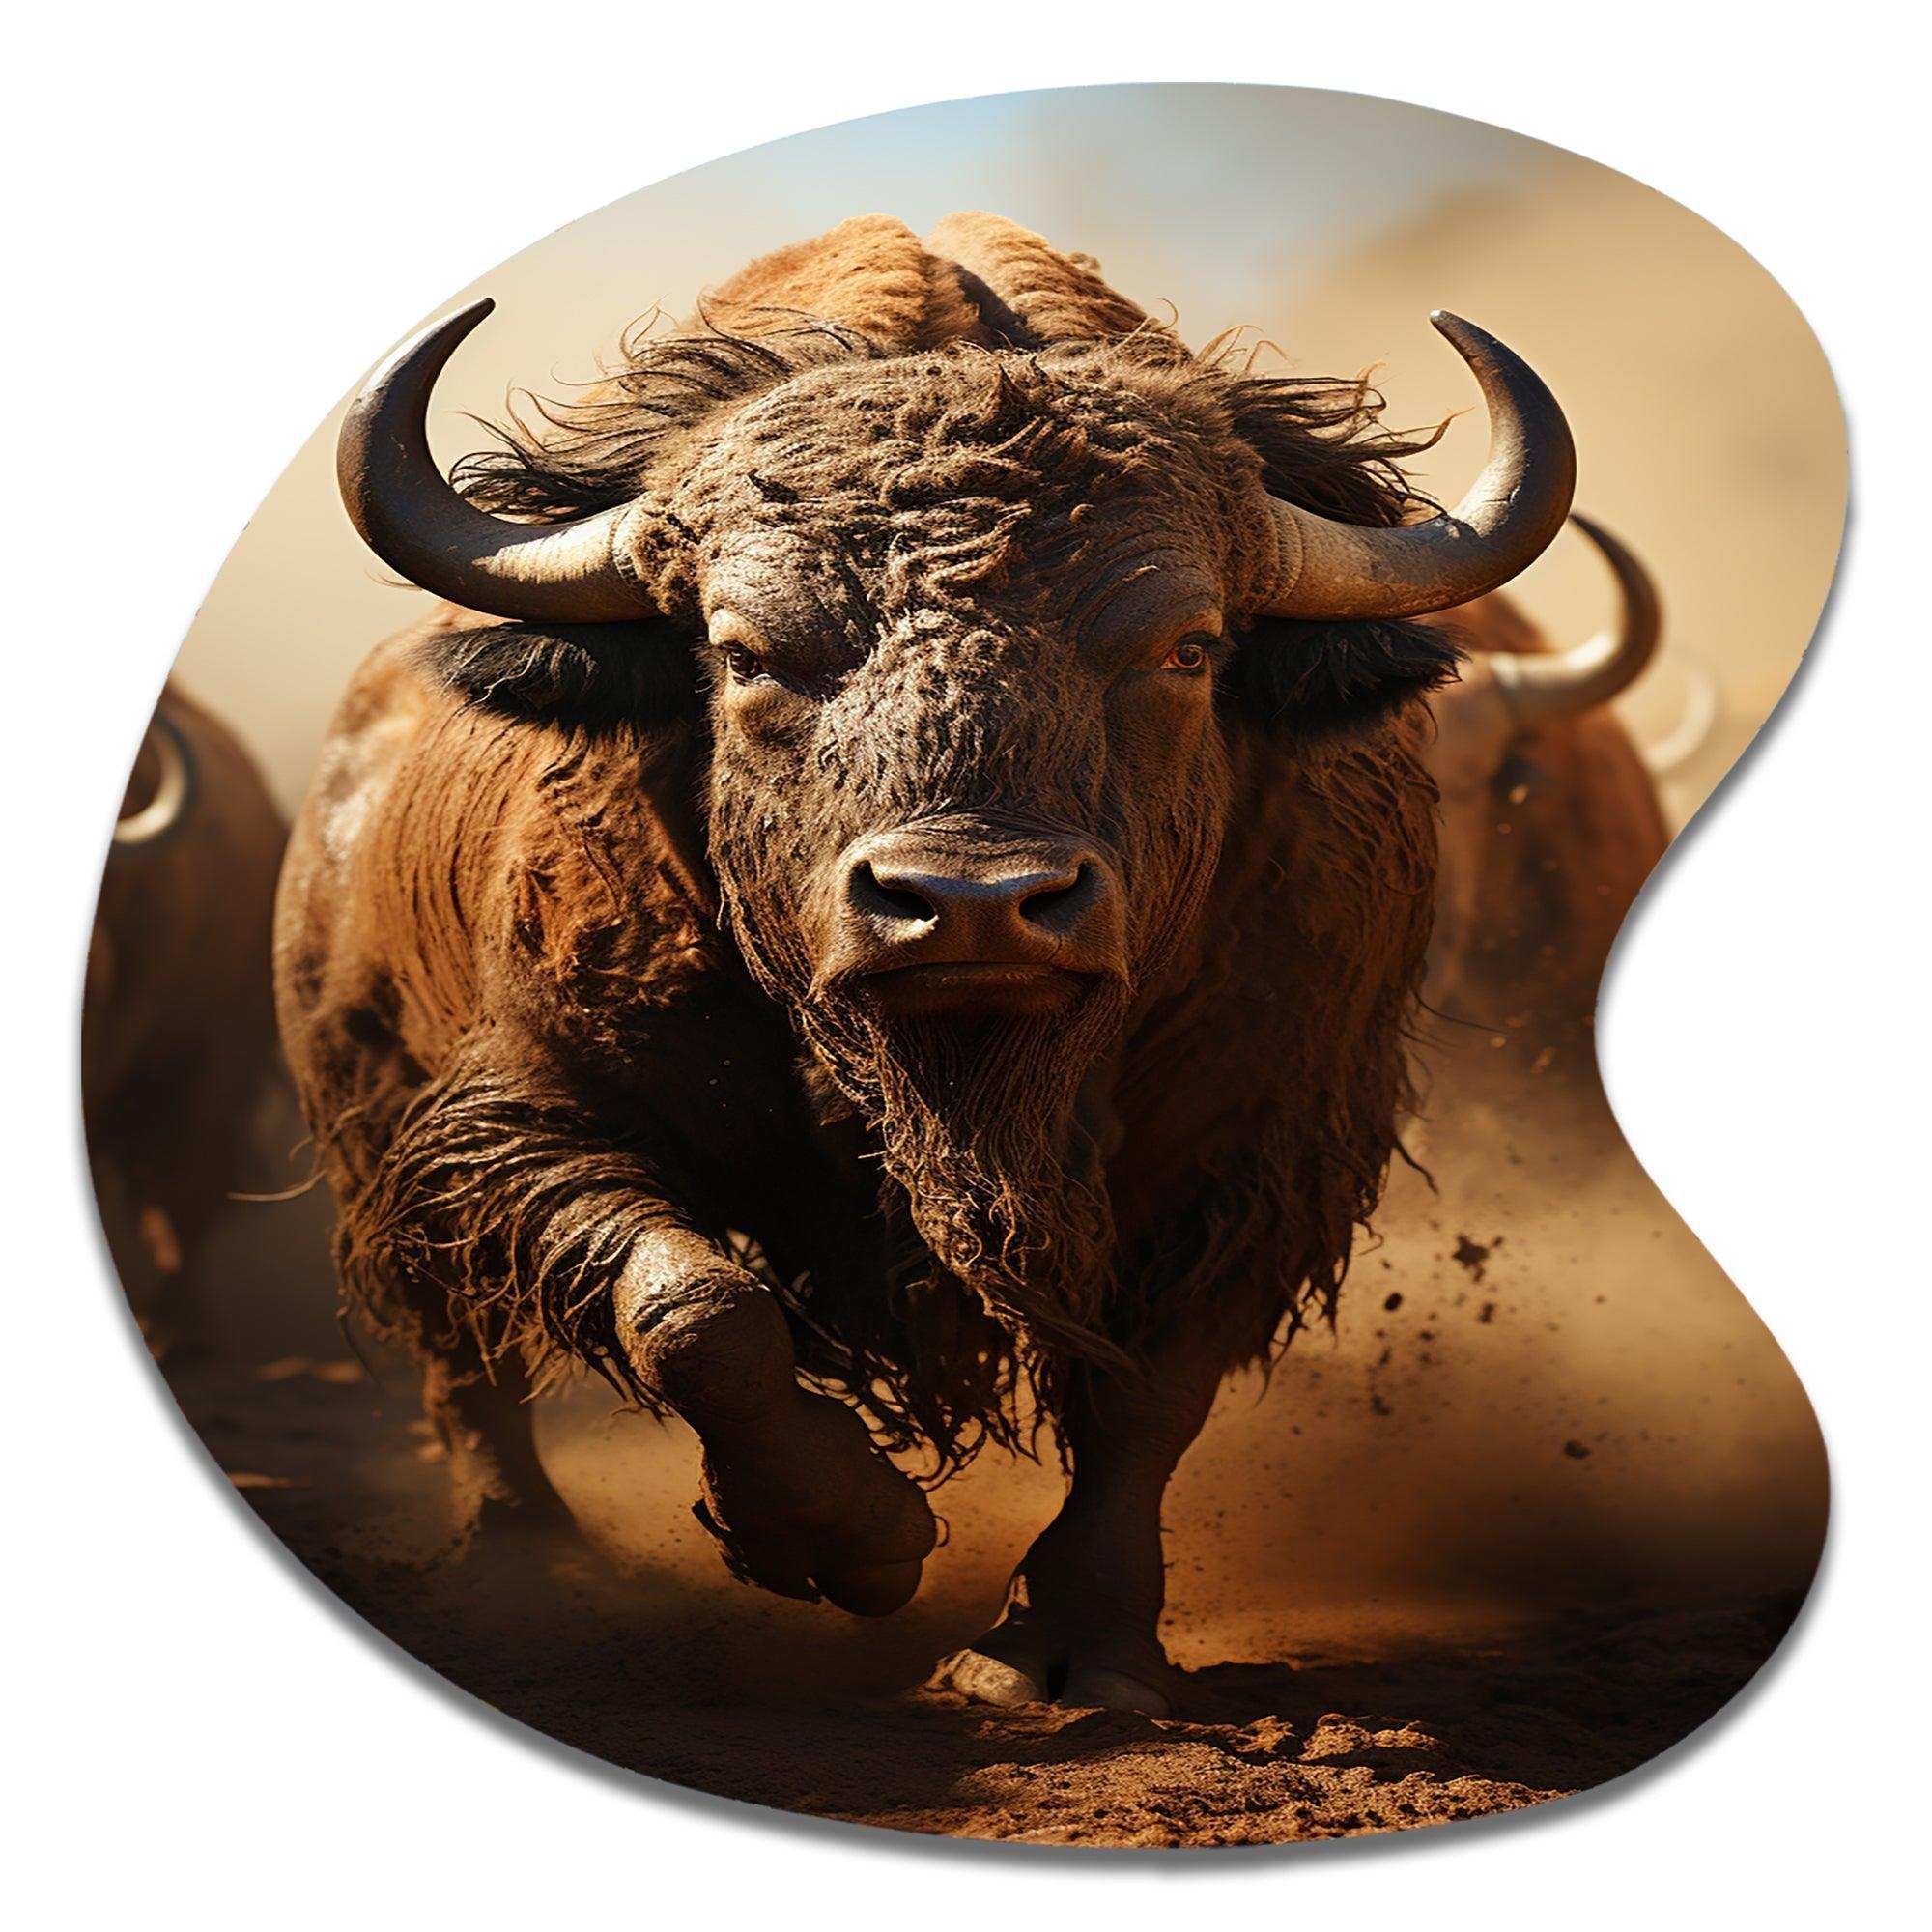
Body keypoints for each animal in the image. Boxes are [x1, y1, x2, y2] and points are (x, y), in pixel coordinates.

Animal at [278, 213, 1658, 1713]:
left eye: (1187, 648)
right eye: (744, 654)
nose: (972, 904)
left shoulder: (1265, 1151)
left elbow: (1151, 1392)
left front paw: (1064, 1647)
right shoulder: (519, 1109)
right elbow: (697, 1304)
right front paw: (853, 1538)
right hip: (364, 1108)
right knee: (458, 1348)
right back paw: (525, 1557)